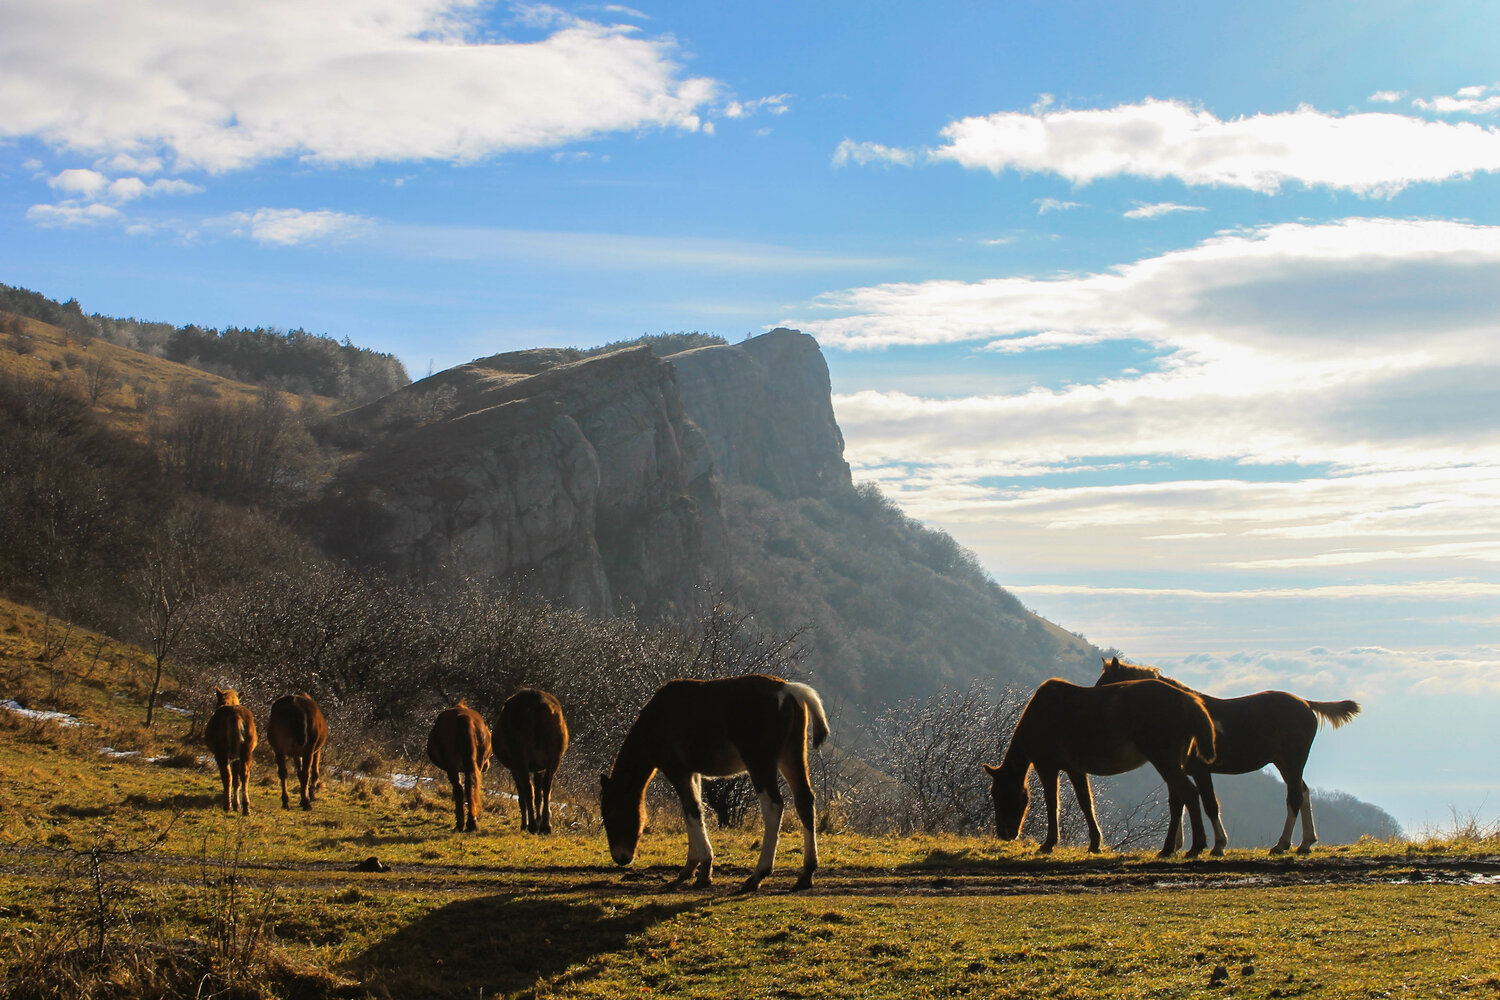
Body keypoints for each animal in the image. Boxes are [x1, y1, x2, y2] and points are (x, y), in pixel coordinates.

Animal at [427, 702, 493, 832]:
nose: (487, 766)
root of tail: (463, 717)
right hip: (474, 764)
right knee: (470, 786)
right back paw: (471, 822)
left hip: (452, 765)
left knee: (458, 788)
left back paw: (461, 823)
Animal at [495, 689, 569, 835]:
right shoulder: (538, 767)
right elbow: (539, 794)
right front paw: (539, 820)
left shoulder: (514, 767)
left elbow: (522, 795)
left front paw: (525, 824)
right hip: (555, 755)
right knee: (546, 787)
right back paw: (546, 825)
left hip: (520, 754)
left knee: (529, 790)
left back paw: (532, 825)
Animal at [600, 674, 830, 892]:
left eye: (611, 814)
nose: (621, 857)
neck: (655, 720)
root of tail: (787, 689)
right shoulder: (693, 773)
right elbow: (692, 812)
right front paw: (690, 868)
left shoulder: (677, 770)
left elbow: (692, 810)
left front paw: (704, 870)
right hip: (791, 755)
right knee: (805, 801)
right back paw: (806, 873)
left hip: (760, 762)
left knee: (774, 806)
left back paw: (758, 875)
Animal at [982, 677, 1217, 857]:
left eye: (998, 793)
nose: (1004, 833)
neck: (1036, 719)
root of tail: (1191, 703)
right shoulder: (1075, 768)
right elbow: (1086, 802)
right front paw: (1095, 843)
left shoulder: (1046, 765)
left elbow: (1052, 803)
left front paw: (1049, 843)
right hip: (1172, 761)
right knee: (1177, 799)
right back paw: (1168, 848)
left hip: (1164, 759)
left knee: (1189, 793)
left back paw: (1196, 846)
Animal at [1095, 656, 1361, 855]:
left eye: (1107, 683)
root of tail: (1306, 703)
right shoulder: (1177, 767)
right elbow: (1177, 802)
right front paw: (1176, 846)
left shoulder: (1200, 770)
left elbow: (1210, 804)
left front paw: (1217, 846)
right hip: (1285, 763)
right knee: (1303, 792)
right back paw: (1305, 843)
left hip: (1292, 761)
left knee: (1294, 796)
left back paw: (1282, 845)